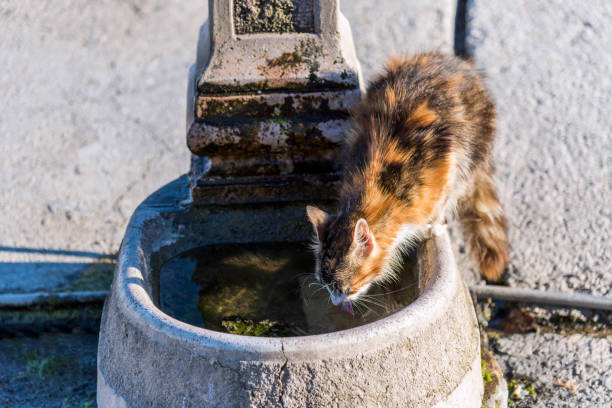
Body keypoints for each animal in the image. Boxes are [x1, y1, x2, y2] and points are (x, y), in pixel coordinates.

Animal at [308, 51, 510, 306]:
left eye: (345, 288)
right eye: (325, 285)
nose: (336, 303)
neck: (382, 190)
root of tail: (460, 64)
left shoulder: (446, 166)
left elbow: (443, 200)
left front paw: (432, 227)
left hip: (474, 146)